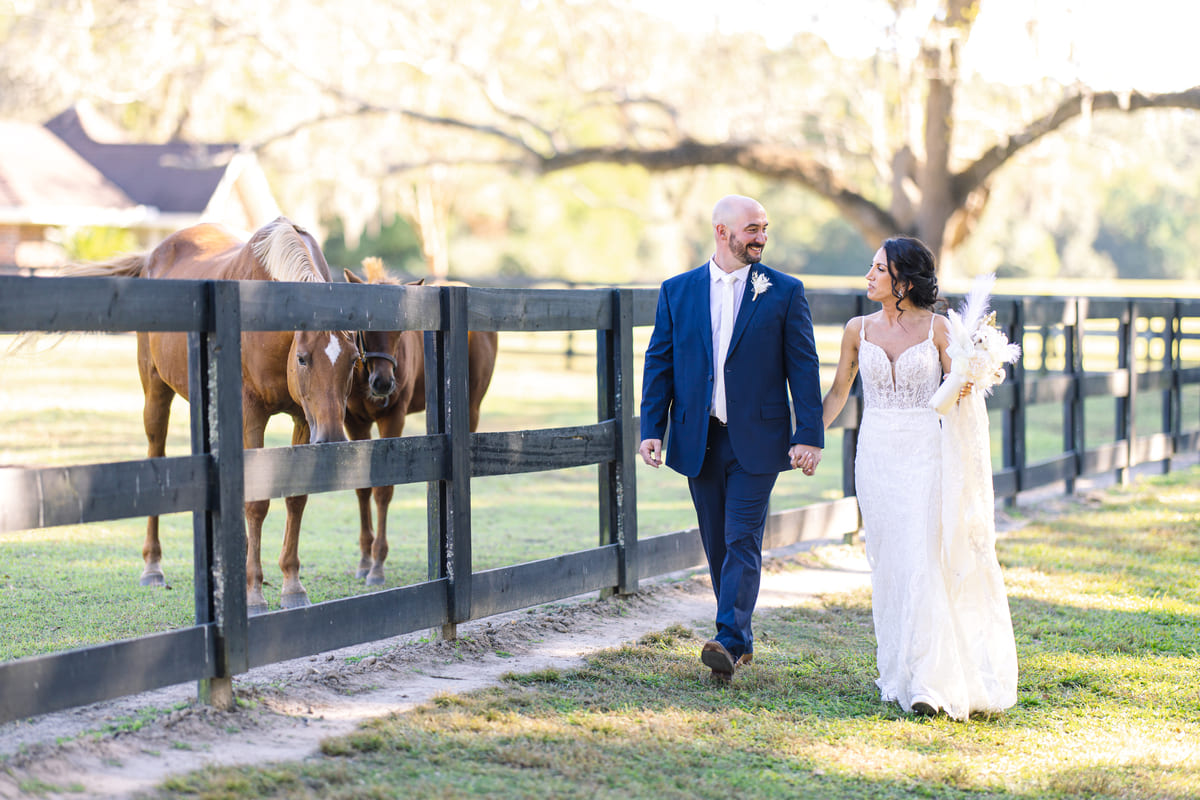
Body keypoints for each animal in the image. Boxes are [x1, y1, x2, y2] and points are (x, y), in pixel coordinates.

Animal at [60, 219, 357, 614]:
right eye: (303, 358)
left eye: (353, 360)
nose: (332, 437)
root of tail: (153, 255)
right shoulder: (251, 415)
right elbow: (256, 503)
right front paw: (253, 593)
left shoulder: (302, 419)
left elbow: (296, 498)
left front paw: (292, 586)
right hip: (156, 395)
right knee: (156, 455)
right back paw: (153, 567)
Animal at [345, 260, 499, 585]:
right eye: (365, 327)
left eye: (400, 330)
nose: (383, 383)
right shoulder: (355, 422)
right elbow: (363, 488)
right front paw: (364, 561)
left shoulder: (393, 418)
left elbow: (384, 490)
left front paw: (377, 566)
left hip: (472, 408)